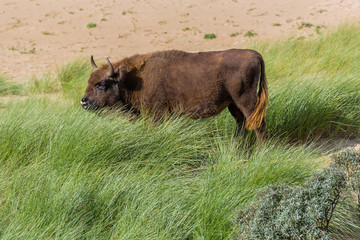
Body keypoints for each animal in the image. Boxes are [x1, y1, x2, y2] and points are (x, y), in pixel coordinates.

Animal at [81, 48, 268, 142]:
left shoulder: (156, 115)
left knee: (258, 125)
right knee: (241, 124)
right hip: (232, 104)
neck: (131, 79)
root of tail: (256, 54)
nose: (84, 102)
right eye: (88, 81)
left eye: (101, 84)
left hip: (246, 101)